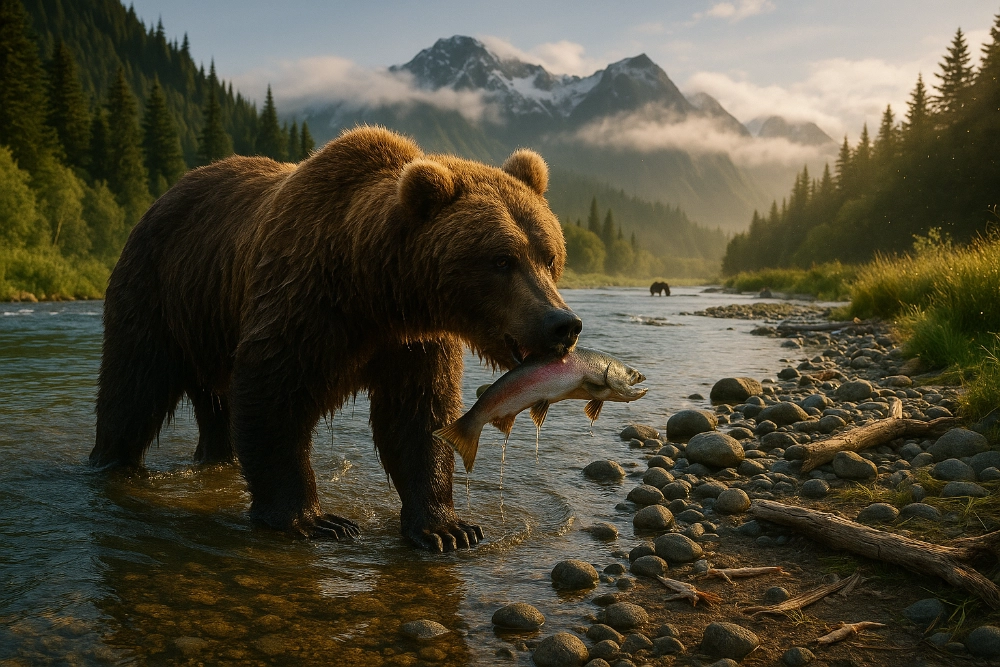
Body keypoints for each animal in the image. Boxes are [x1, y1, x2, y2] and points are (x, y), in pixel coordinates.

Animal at [90, 126, 582, 552]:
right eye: (501, 260)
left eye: (548, 255)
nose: (563, 323)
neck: (374, 290)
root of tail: (164, 196)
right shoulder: (303, 304)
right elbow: (273, 397)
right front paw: (315, 519)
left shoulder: (413, 343)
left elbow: (419, 415)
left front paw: (447, 527)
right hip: (158, 292)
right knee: (133, 386)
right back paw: (111, 462)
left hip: (207, 317)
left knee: (214, 406)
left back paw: (216, 458)